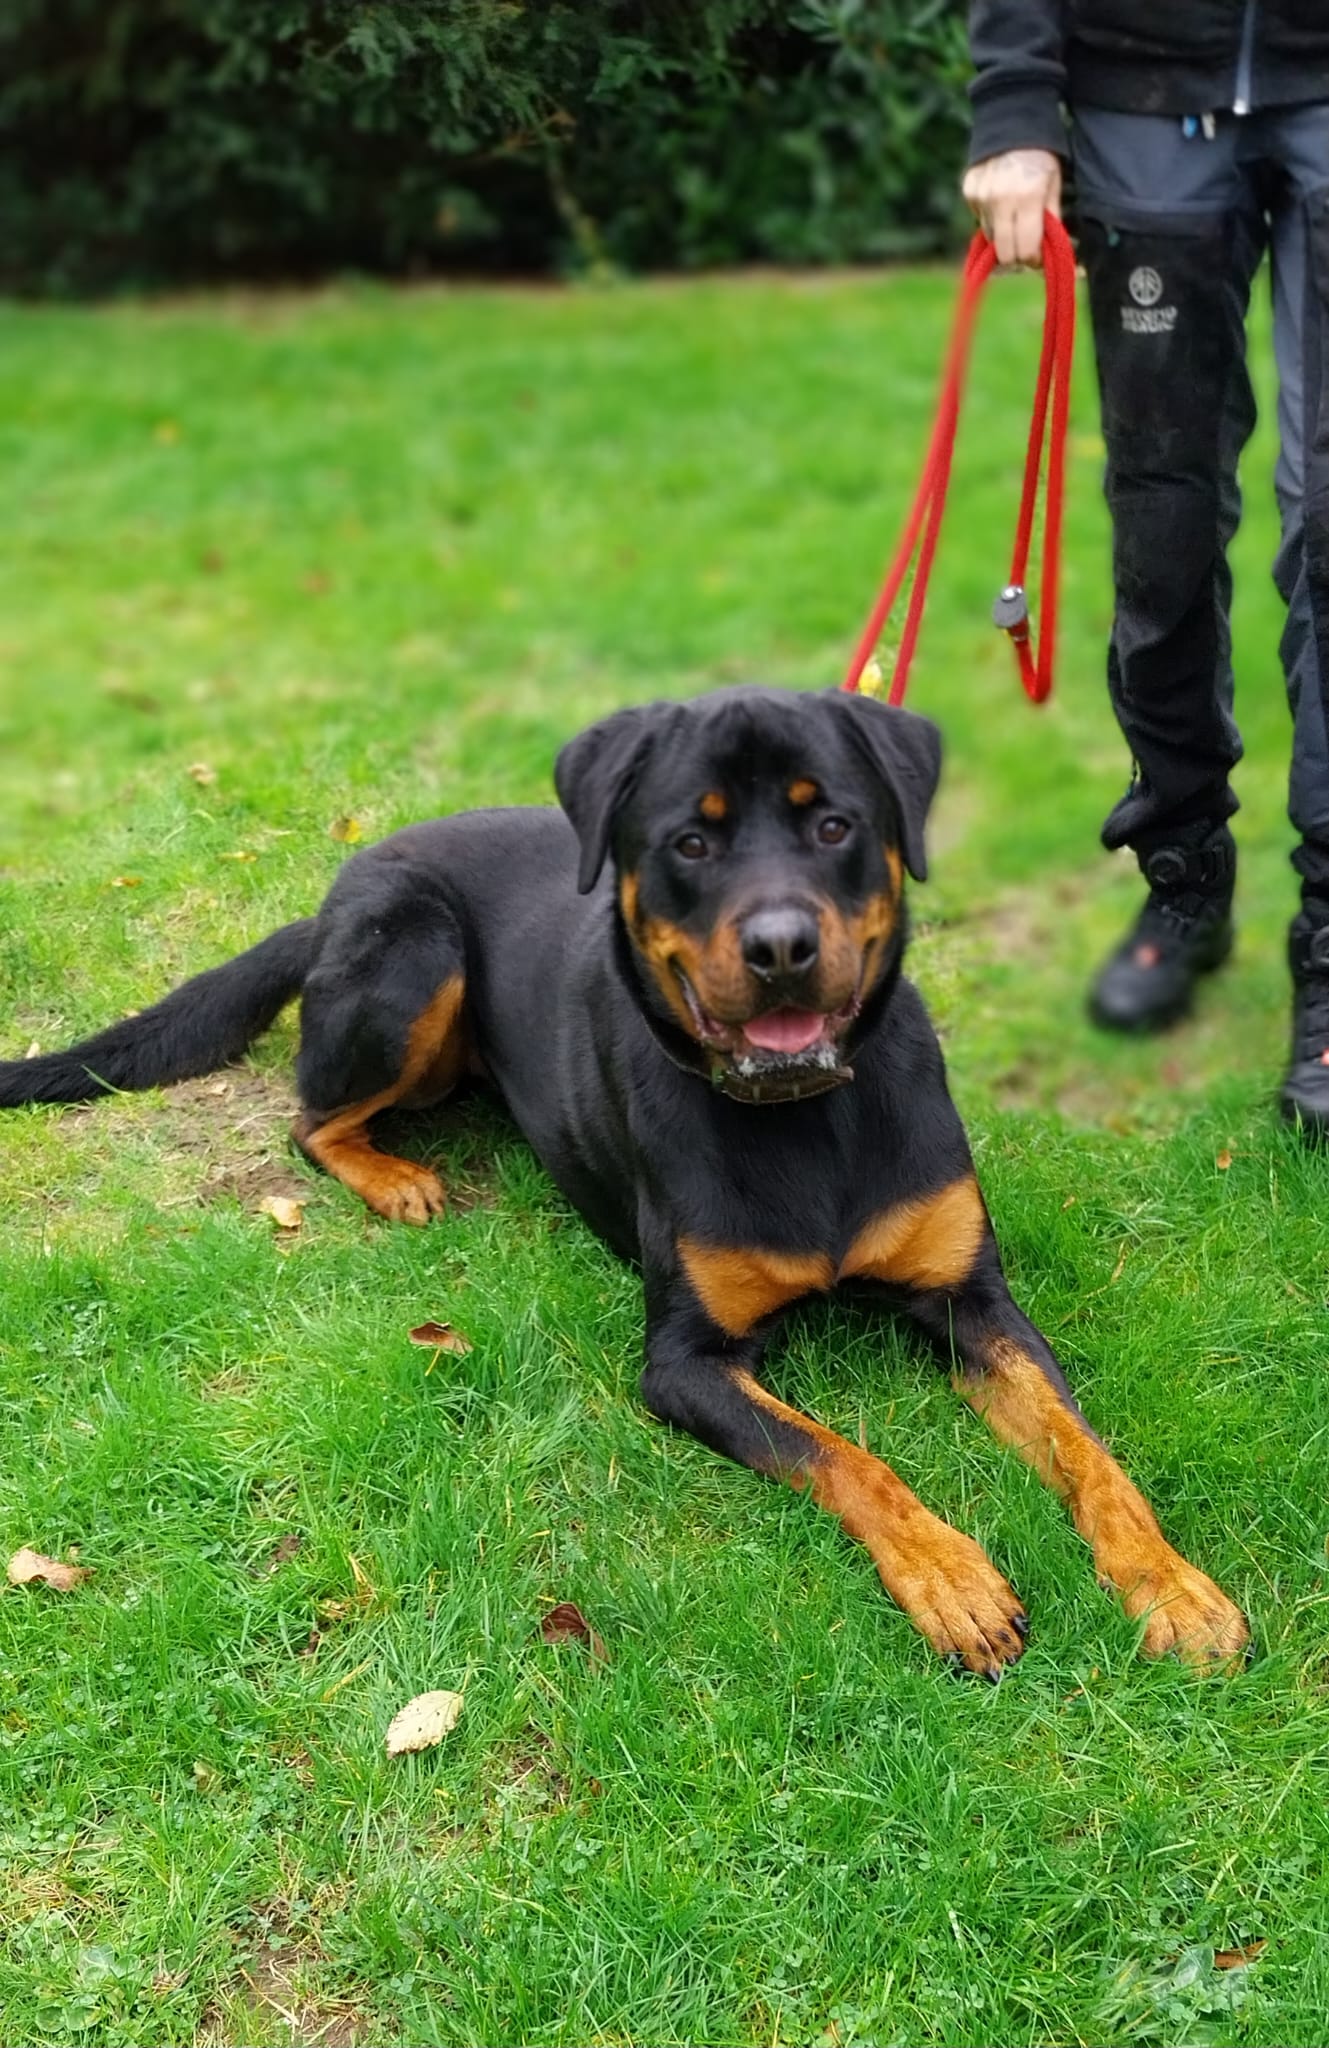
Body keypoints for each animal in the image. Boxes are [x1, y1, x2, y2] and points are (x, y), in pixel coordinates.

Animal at [0, 685, 1248, 1675]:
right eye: (689, 843)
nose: (782, 946)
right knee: (311, 1117)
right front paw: (953, 1577)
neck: (805, 1115)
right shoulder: (684, 1362)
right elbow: (845, 1455)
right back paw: (394, 1176)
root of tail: (336, 890)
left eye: (834, 823)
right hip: (415, 954)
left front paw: (1175, 1585)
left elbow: (1089, 1454)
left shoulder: (972, 1299)